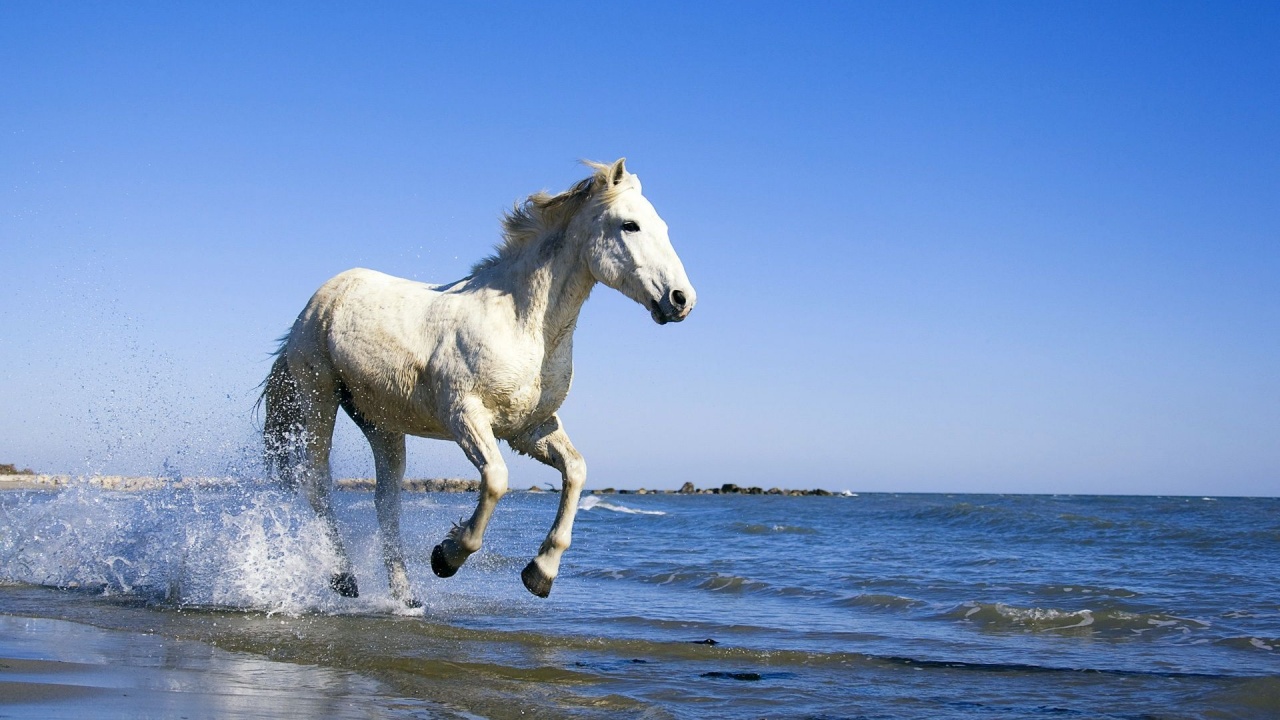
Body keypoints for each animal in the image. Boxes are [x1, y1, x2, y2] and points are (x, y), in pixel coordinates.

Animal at [259, 159, 696, 602]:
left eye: (662, 226)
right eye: (630, 225)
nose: (681, 299)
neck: (522, 324)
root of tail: (322, 297)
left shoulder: (529, 428)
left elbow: (576, 471)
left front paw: (540, 573)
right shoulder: (465, 415)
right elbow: (497, 480)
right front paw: (446, 556)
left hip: (382, 423)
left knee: (386, 503)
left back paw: (406, 597)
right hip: (319, 397)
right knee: (317, 482)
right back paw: (344, 577)